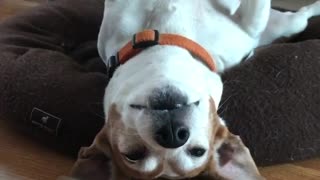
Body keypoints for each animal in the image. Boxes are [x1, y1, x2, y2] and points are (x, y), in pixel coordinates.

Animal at [70, 0, 320, 179]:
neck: (165, 40)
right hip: (286, 24)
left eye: (198, 151)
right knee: (299, 16)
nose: (173, 134)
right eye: (133, 154)